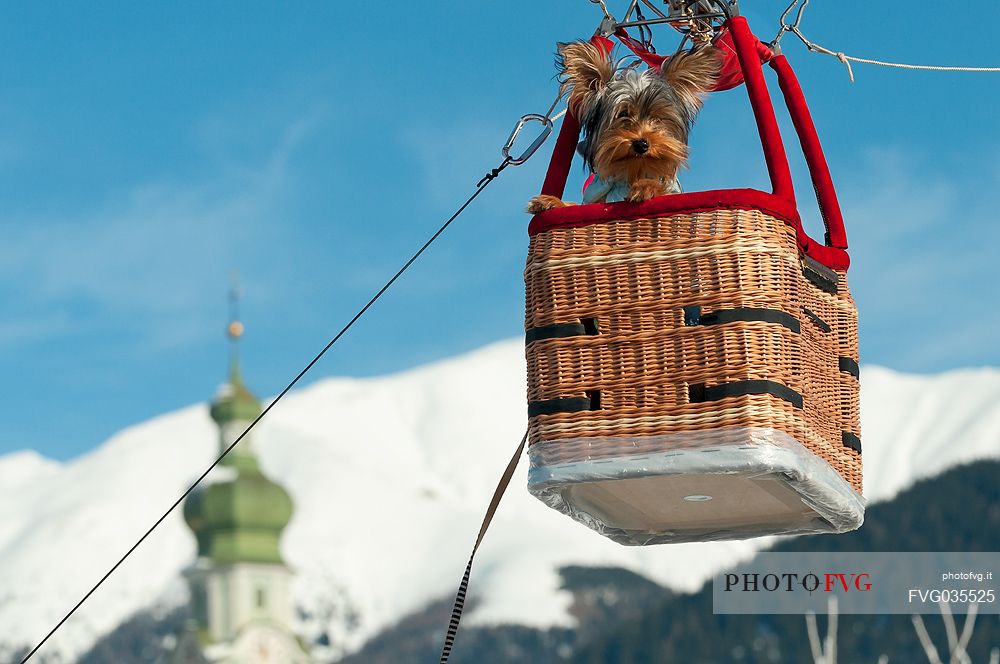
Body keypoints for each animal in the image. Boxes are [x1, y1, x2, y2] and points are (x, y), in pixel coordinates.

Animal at [528, 40, 716, 213]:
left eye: (658, 118)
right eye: (622, 115)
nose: (641, 144)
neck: (633, 172)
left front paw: (645, 187)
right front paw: (551, 201)